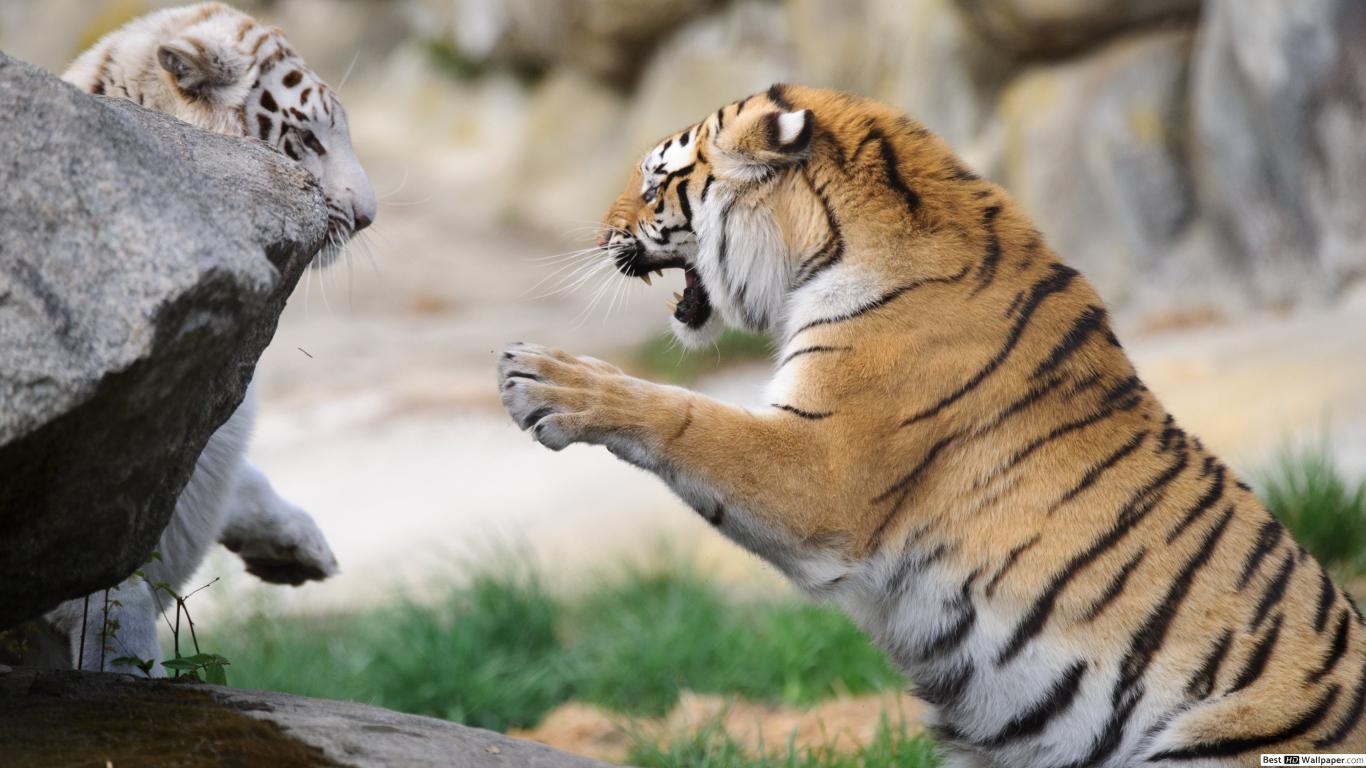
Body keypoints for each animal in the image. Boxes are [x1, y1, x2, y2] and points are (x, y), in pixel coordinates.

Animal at [498, 84, 1366, 764]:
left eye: (655, 186)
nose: (598, 233)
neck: (837, 244)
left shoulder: (823, 468)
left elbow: (687, 414)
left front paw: (543, 377)